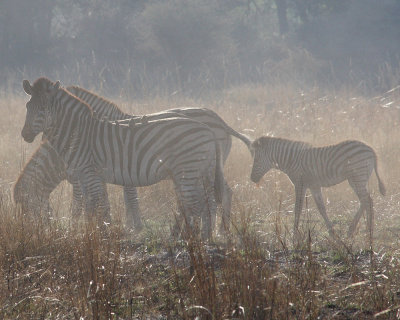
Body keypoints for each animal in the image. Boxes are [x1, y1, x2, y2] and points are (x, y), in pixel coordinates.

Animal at [15, 85, 250, 232]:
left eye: (26, 208)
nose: (32, 136)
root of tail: (220, 120)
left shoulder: (92, 172)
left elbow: (88, 202)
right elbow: (110, 199)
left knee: (213, 195)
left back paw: (216, 231)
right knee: (221, 192)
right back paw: (216, 231)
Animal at [250, 136, 384, 239]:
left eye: (256, 160)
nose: (252, 179)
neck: (291, 160)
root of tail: (370, 148)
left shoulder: (300, 184)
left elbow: (297, 208)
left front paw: (294, 234)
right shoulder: (314, 186)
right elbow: (321, 208)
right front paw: (332, 232)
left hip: (357, 176)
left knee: (367, 200)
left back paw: (368, 231)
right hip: (356, 179)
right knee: (365, 201)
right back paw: (353, 230)